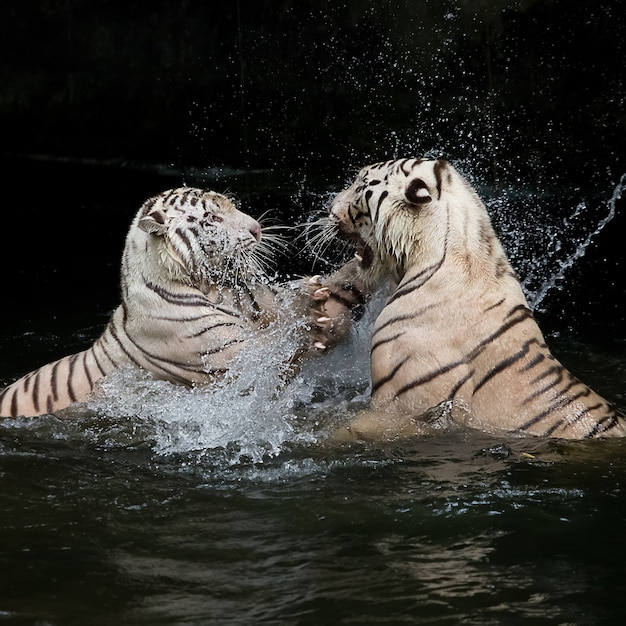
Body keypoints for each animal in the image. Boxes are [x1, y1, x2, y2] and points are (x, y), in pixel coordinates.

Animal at [1, 188, 366, 416]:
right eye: (211, 220)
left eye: (231, 205)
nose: (258, 229)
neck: (216, 287)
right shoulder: (233, 363)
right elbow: (276, 345)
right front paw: (309, 309)